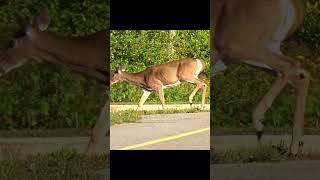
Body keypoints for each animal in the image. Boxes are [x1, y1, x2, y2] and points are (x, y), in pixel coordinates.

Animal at [211, 0, 308, 155]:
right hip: (263, 47)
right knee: (300, 74)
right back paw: (294, 144)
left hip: (240, 45)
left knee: (290, 66)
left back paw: (260, 123)